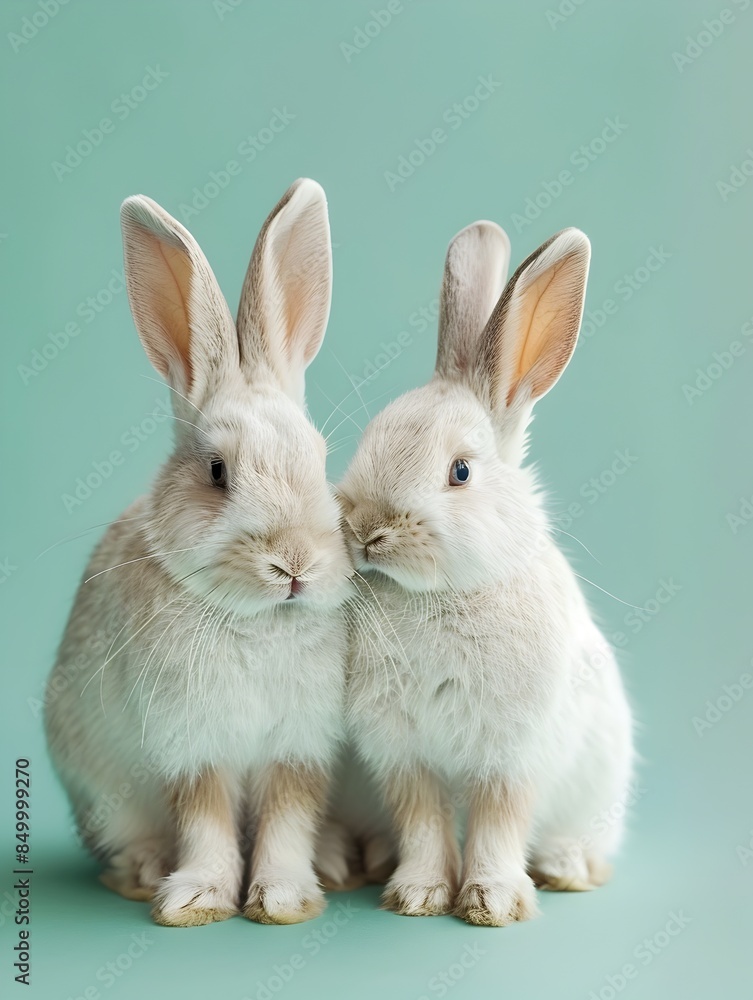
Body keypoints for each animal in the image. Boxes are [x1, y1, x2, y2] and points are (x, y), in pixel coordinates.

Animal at [44, 178, 353, 928]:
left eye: (319, 460)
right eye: (217, 472)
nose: (295, 564)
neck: (258, 620)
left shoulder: (299, 747)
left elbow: (286, 818)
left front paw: (284, 897)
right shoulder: (191, 744)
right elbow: (205, 817)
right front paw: (198, 900)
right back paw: (143, 869)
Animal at [335, 221, 635, 926]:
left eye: (461, 472)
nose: (366, 531)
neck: (441, 595)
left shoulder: (511, 753)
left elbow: (499, 824)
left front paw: (492, 902)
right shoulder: (404, 755)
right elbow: (422, 823)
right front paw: (417, 894)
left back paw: (568, 868)